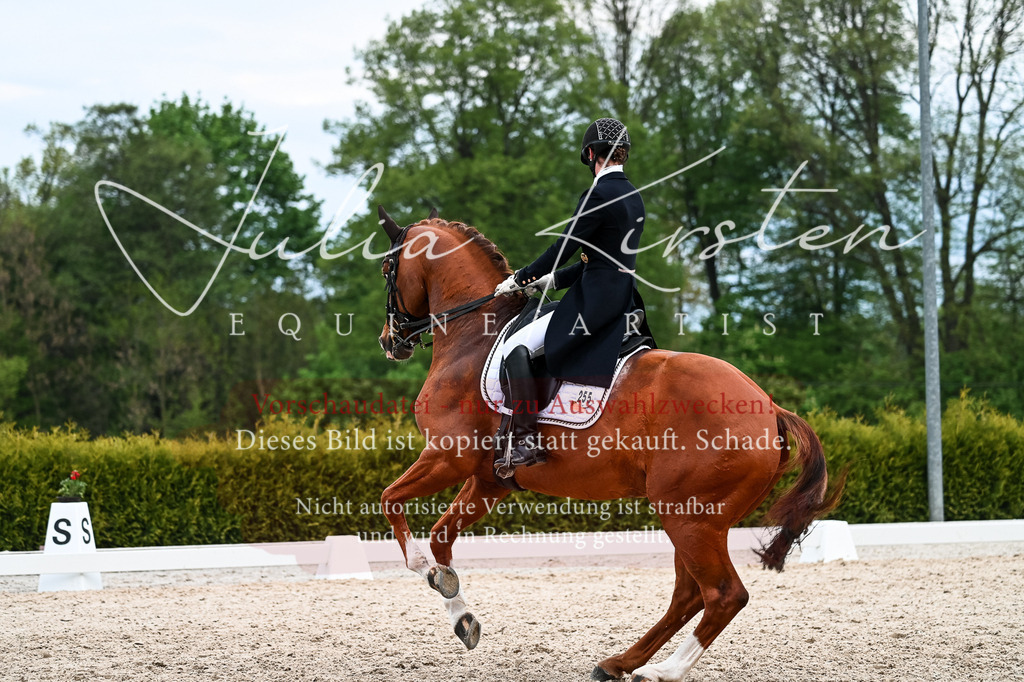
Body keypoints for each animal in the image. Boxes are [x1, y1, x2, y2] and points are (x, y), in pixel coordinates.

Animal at [375, 206, 842, 682]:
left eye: (386, 269)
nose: (389, 341)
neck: (475, 335)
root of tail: (769, 407)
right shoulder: (490, 480)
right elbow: (440, 536)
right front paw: (462, 615)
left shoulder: (447, 456)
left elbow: (391, 500)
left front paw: (426, 572)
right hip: (699, 519)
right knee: (688, 594)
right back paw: (619, 663)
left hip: (689, 516)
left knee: (723, 594)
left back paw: (661, 671)